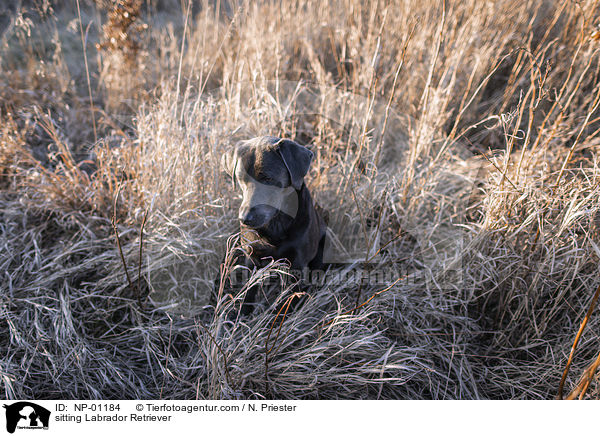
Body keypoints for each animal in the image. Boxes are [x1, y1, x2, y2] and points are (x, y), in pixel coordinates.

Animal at [217, 136, 326, 314]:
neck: (276, 223)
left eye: (267, 179)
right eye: (240, 179)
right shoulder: (251, 258)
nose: (244, 218)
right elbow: (249, 291)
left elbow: (289, 301)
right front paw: (242, 315)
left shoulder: (297, 265)